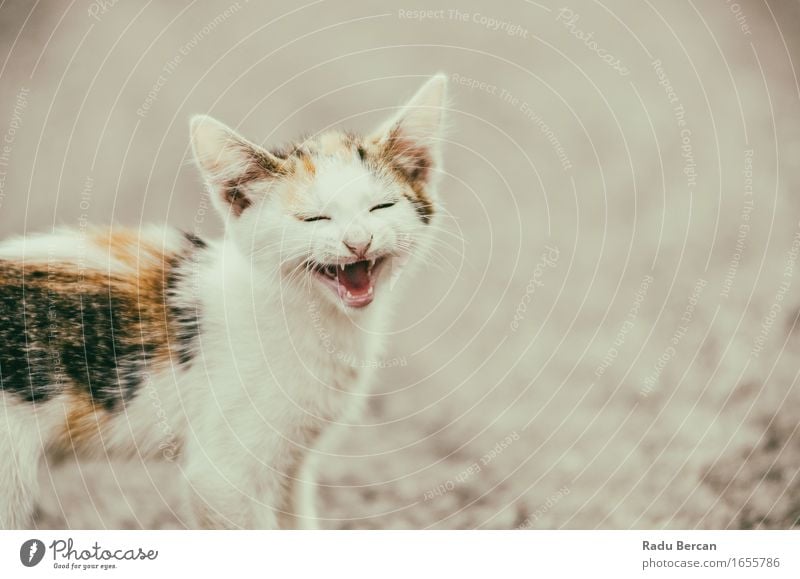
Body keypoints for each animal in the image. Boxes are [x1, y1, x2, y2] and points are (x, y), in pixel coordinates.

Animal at [0, 73, 450, 532]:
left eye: (381, 206)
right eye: (314, 218)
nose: (358, 241)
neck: (312, 318)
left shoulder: (293, 462)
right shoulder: (222, 477)